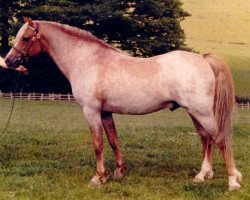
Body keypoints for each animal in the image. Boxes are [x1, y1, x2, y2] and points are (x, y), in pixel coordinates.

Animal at [4, 17, 242, 191]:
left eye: (25, 38)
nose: (9, 61)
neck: (89, 60)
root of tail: (203, 58)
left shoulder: (91, 111)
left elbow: (98, 144)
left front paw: (98, 178)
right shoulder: (105, 112)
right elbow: (113, 140)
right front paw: (119, 172)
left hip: (201, 111)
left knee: (220, 139)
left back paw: (232, 181)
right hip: (195, 112)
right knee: (206, 139)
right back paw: (203, 175)